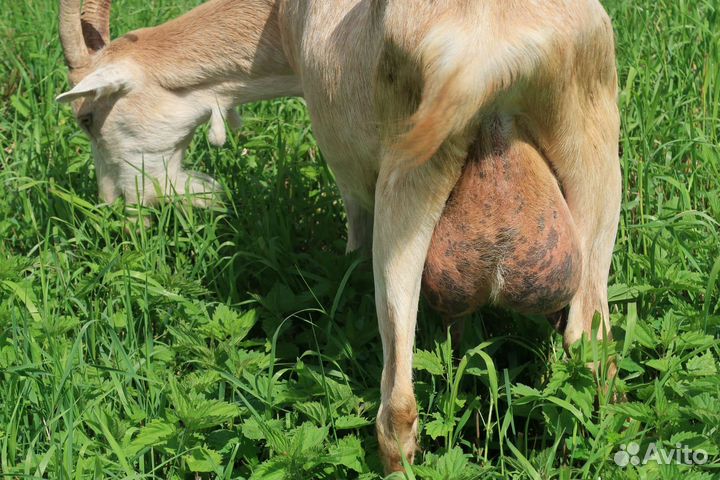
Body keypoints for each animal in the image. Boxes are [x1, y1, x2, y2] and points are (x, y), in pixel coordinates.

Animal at [57, 0, 621, 472]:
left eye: (86, 117)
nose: (116, 210)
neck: (280, 17)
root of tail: (489, 54)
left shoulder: (345, 165)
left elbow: (352, 238)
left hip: (403, 188)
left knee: (397, 409)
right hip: (597, 165)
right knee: (595, 360)